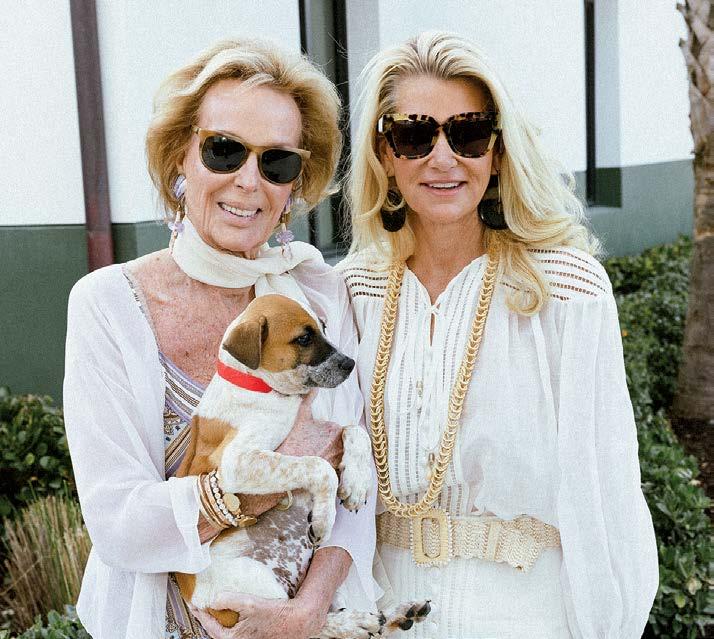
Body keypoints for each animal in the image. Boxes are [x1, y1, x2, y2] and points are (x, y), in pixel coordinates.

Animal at [175, 294, 430, 638]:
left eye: (322, 327)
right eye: (304, 338)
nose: (350, 363)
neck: (263, 389)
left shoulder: (326, 430)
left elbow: (354, 430)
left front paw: (356, 483)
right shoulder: (235, 463)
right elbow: (318, 466)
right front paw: (324, 517)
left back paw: (397, 613)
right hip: (255, 584)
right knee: (308, 625)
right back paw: (359, 621)